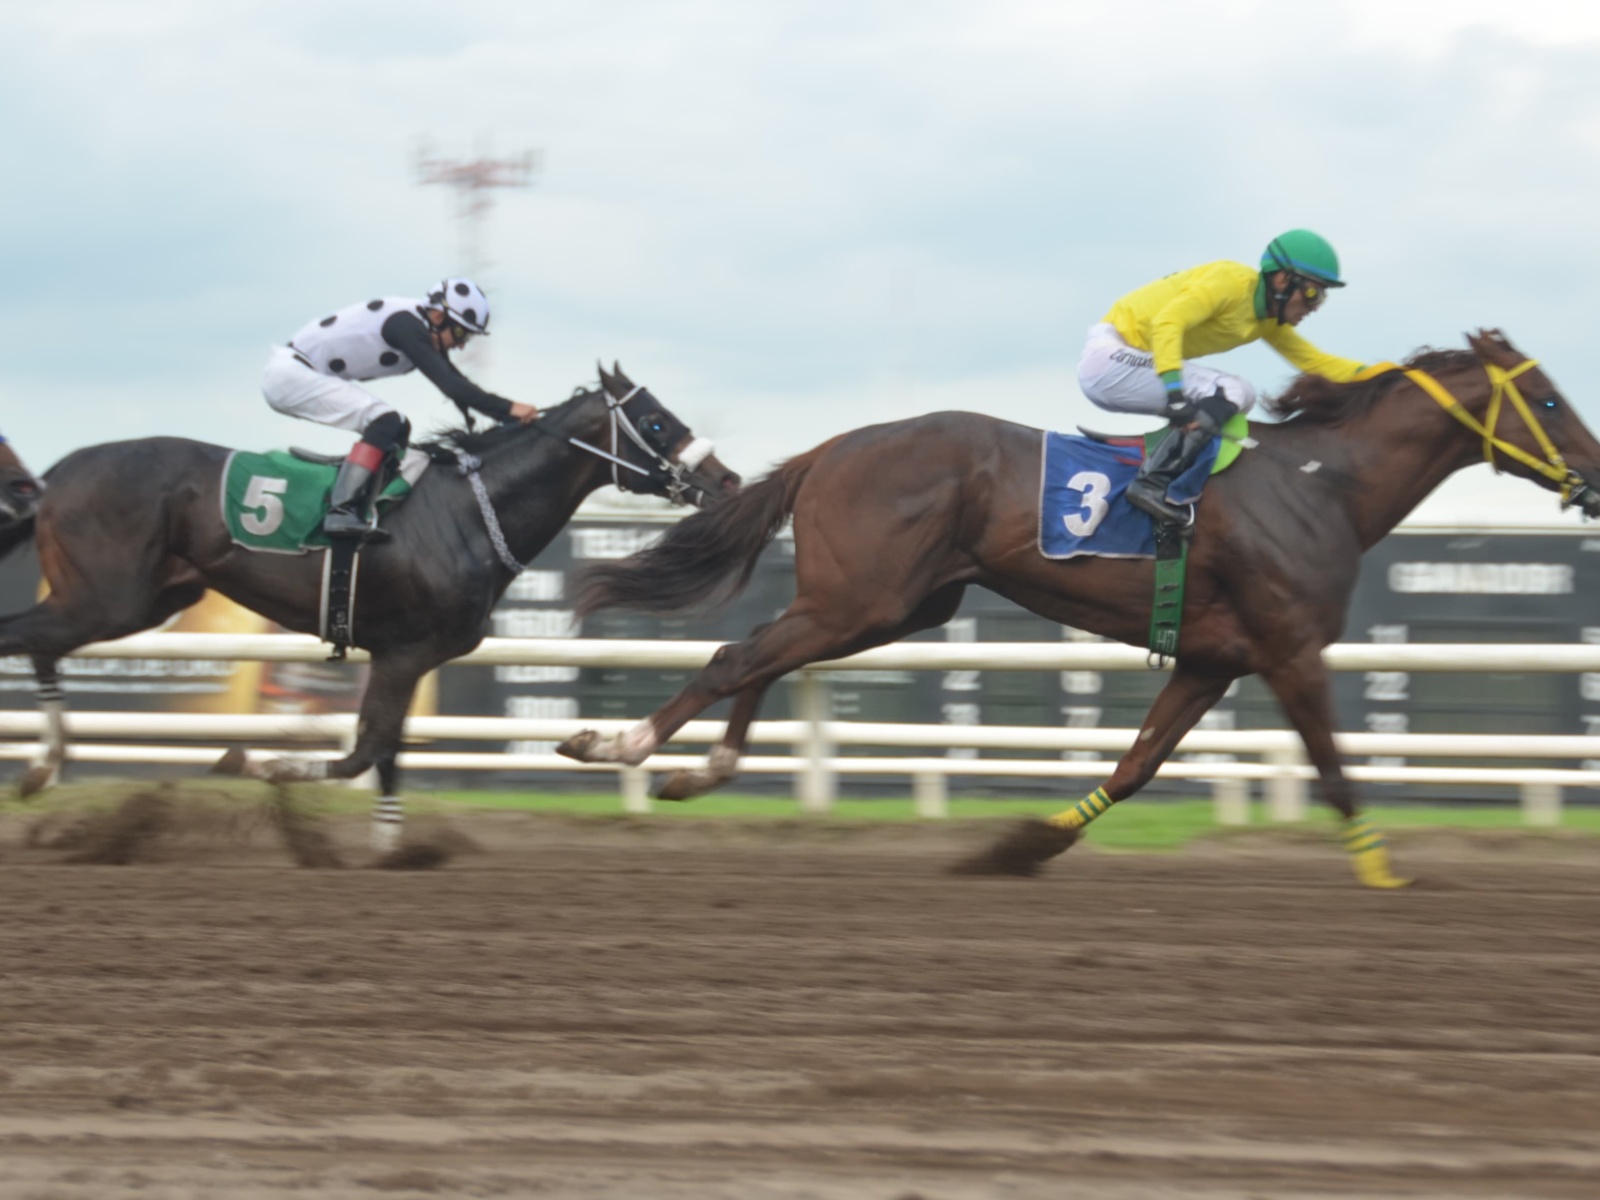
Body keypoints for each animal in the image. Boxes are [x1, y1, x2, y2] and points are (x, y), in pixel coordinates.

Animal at [0, 365, 740, 849]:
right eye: (655, 421)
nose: (727, 479)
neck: (467, 513)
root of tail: (57, 473)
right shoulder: (403, 651)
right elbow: (364, 751)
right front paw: (253, 764)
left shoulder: (410, 656)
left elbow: (386, 752)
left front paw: (389, 847)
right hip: (107, 598)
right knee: (27, 637)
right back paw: (42, 766)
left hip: (141, 600)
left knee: (41, 645)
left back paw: (42, 767)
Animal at [557, 330, 1600, 889]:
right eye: (1550, 400)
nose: (1592, 477)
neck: (1321, 484)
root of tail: (832, 449)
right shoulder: (1291, 651)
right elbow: (1338, 774)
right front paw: (1391, 874)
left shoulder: (1212, 660)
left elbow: (1137, 766)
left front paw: (1025, 844)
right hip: (868, 595)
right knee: (740, 655)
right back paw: (621, 745)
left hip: (892, 605)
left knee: (766, 654)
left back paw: (701, 768)